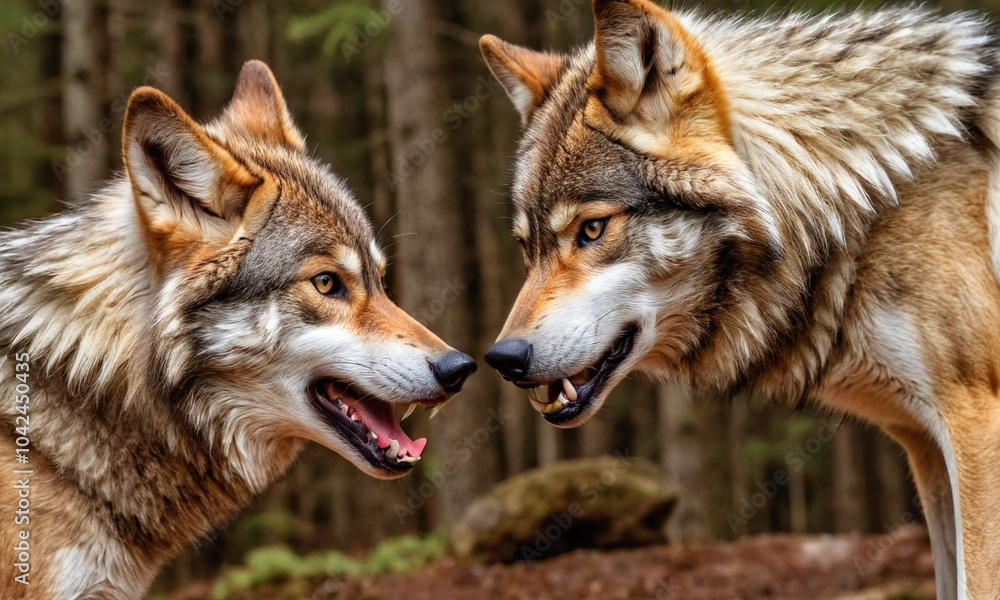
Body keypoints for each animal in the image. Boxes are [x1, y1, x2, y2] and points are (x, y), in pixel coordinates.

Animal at [480, 1, 1000, 598]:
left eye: (591, 229)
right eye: (528, 248)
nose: (502, 358)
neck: (866, 200)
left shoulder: (974, 423)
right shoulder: (924, 442)